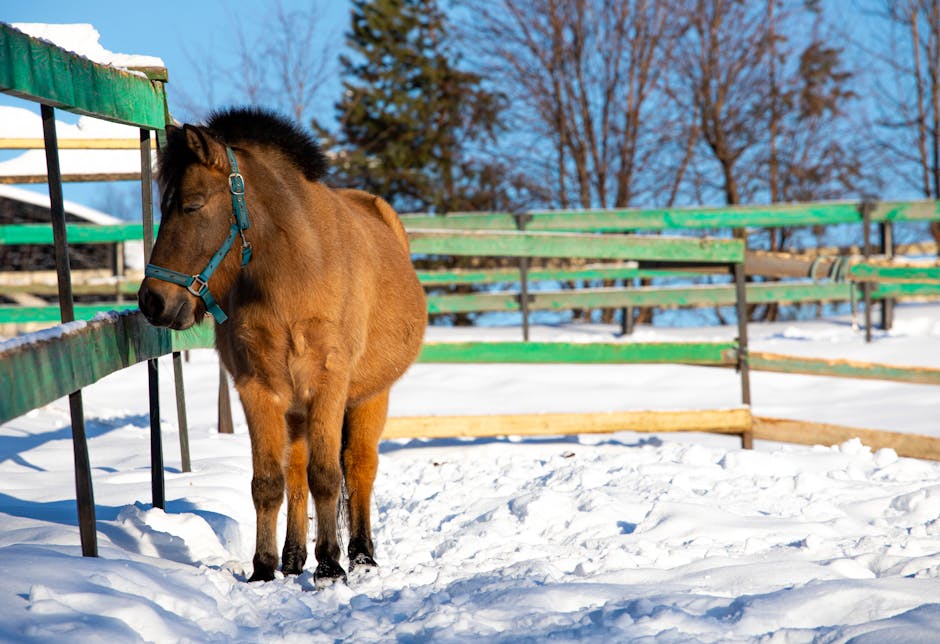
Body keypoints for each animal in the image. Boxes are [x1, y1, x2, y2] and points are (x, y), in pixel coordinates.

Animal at [138, 108, 428, 588]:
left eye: (192, 205)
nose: (152, 301)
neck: (294, 274)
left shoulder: (328, 386)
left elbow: (327, 476)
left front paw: (330, 567)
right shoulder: (259, 390)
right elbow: (268, 482)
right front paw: (263, 567)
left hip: (370, 396)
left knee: (359, 466)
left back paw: (361, 556)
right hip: (295, 410)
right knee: (295, 472)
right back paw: (293, 559)